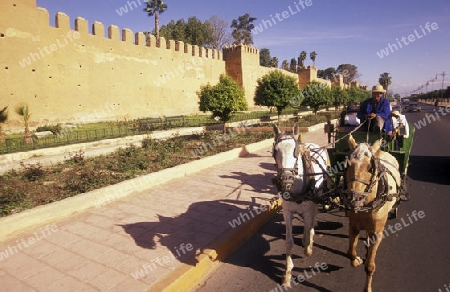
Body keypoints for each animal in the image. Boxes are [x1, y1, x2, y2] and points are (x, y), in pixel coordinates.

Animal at [270, 123, 330, 288]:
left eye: (296, 151)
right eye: (275, 151)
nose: (285, 180)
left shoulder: (309, 209)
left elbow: (308, 229)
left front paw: (308, 247)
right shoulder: (287, 212)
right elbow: (289, 242)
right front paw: (287, 273)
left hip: (317, 198)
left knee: (313, 218)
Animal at [342, 135, 402, 292]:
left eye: (370, 168)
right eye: (347, 165)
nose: (353, 200)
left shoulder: (377, 232)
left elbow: (370, 266)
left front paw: (367, 288)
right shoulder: (353, 226)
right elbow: (350, 251)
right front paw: (356, 260)